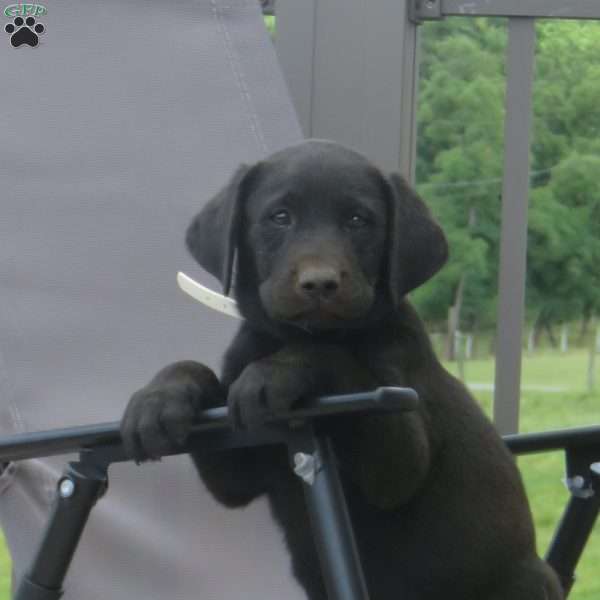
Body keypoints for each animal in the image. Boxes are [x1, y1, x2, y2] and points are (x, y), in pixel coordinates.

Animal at [122, 139, 564, 600]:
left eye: (358, 220)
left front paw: (273, 372)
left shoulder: (399, 454)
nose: (320, 283)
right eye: (280, 217)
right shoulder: (233, 461)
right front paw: (158, 398)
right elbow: (196, 372)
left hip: (526, 579)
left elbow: (325, 355)